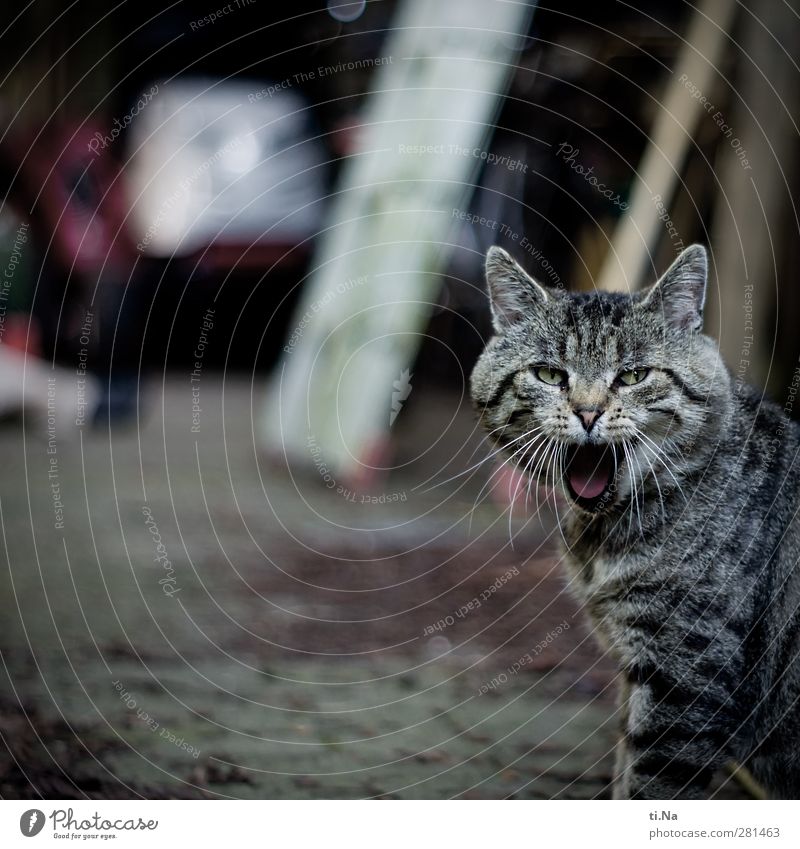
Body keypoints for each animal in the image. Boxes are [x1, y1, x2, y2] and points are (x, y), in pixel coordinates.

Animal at [468, 243, 800, 796]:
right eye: (550, 375)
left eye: (632, 376)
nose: (587, 413)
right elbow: (625, 772)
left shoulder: (685, 675)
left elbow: (649, 785)